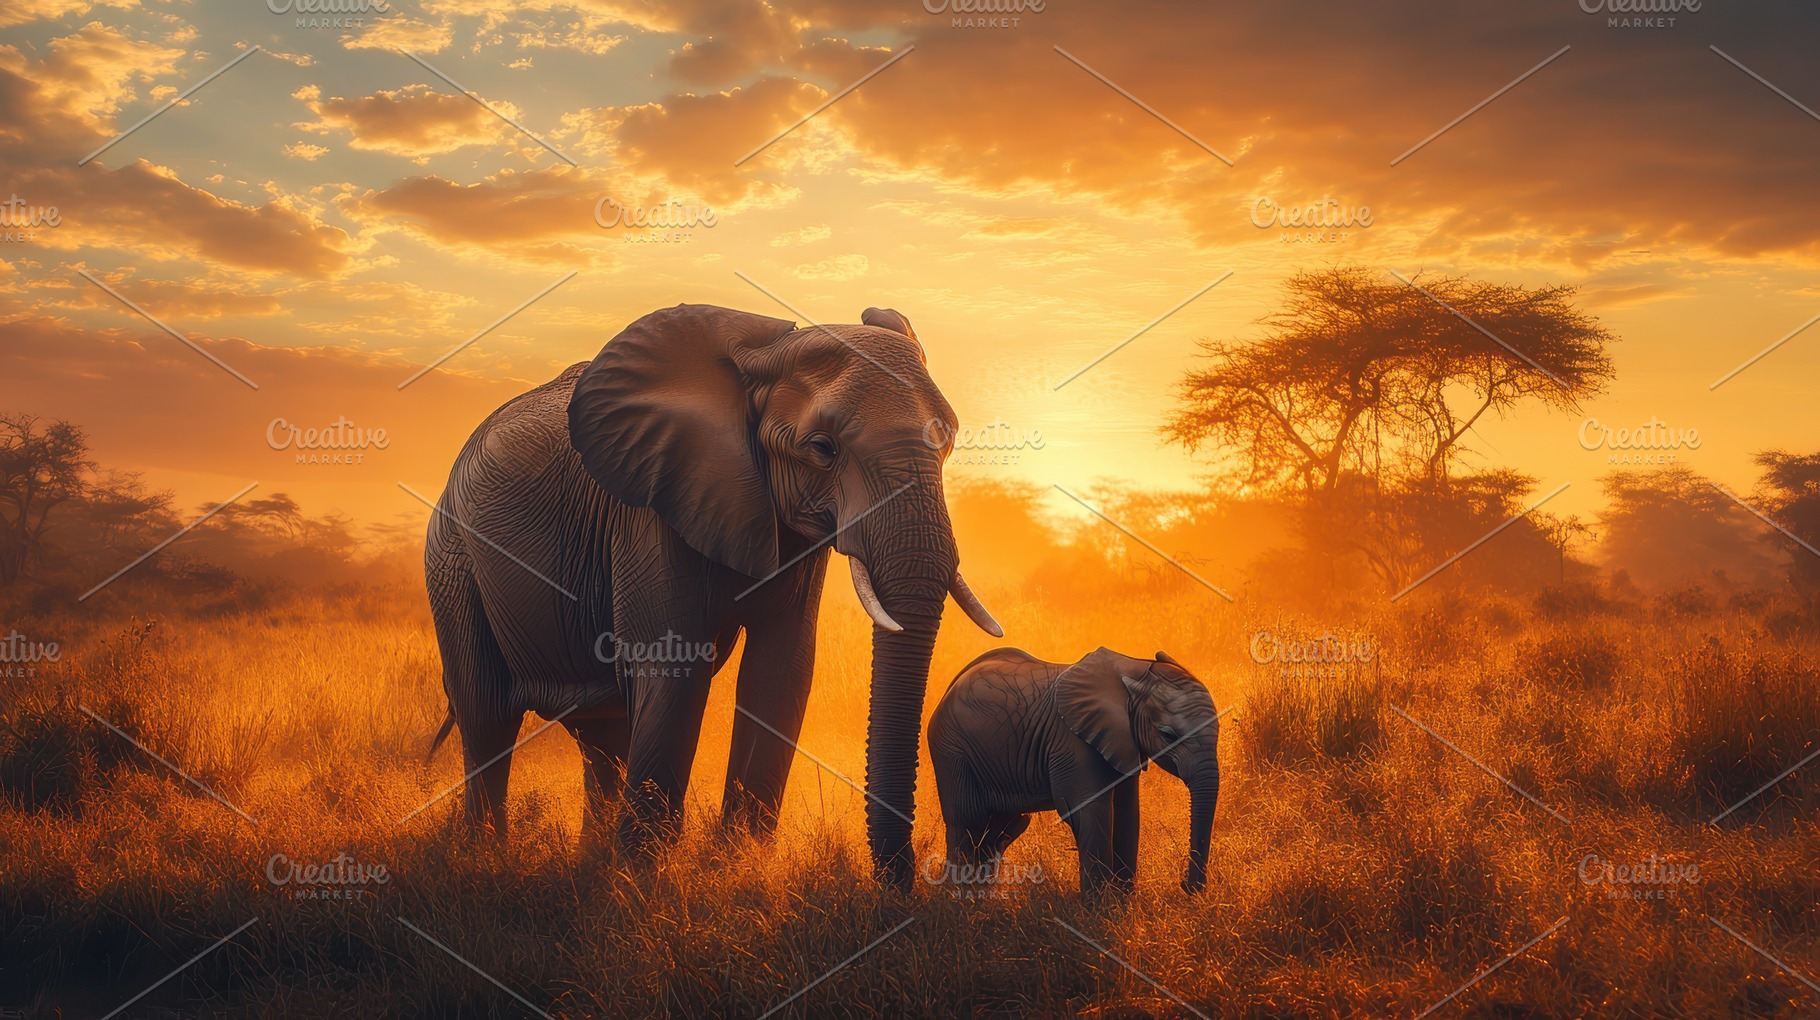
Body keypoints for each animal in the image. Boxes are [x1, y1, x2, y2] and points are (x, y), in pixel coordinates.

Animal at [422, 303, 1001, 888]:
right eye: (822, 449)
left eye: (949, 442)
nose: (904, 882)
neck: (759, 361)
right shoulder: (651, 507)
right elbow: (674, 668)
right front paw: (642, 880)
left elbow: (780, 671)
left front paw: (736, 866)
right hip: (452, 561)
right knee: (487, 712)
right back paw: (486, 858)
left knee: (601, 732)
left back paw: (590, 862)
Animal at [927, 646, 1221, 895]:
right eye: (1168, 735)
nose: (1185, 886)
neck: (1135, 668)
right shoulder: (1072, 741)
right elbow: (1092, 812)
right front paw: (1099, 911)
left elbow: (1127, 813)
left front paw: (1122, 906)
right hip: (951, 750)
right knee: (968, 821)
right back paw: (958, 901)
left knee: (998, 827)